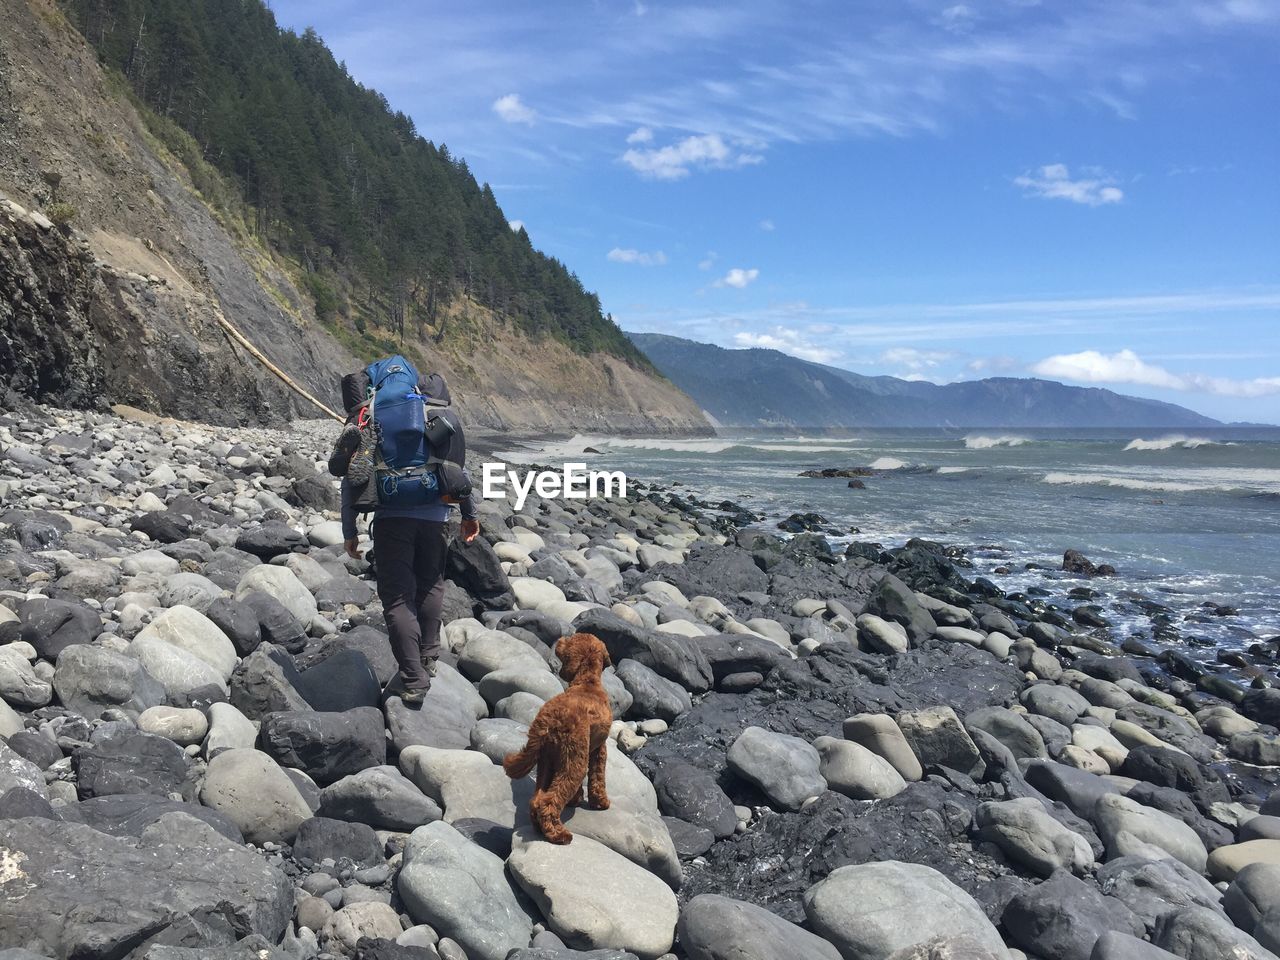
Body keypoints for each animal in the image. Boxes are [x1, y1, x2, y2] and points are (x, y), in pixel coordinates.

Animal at [501, 634, 611, 844]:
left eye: (571, 639)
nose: (561, 639)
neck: (587, 681)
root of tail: (547, 722)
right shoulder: (598, 748)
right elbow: (598, 776)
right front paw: (600, 802)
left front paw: (576, 799)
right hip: (573, 761)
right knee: (548, 801)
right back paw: (559, 835)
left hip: (548, 759)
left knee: (537, 799)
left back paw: (540, 828)